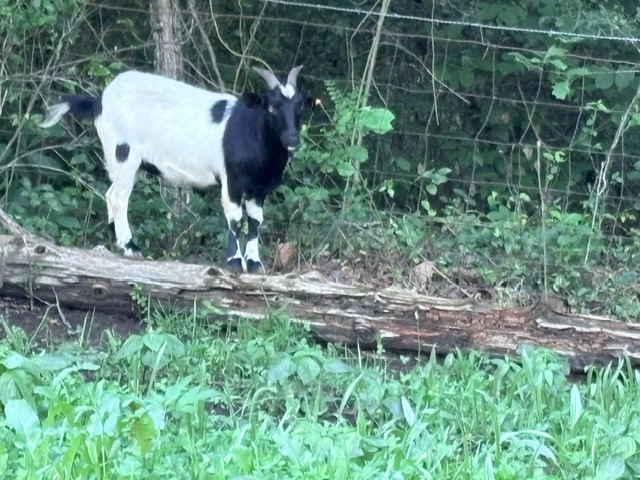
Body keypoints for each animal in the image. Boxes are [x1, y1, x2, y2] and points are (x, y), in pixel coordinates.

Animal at [40, 66, 307, 273]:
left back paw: (115, 240)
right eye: (271, 107)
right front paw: (234, 262)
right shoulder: (231, 180)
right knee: (118, 197)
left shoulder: (258, 188)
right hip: (123, 152)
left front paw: (254, 263)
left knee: (109, 194)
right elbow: (235, 219)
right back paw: (130, 247)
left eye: (300, 107)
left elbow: (255, 221)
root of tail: (98, 101)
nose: (291, 137)